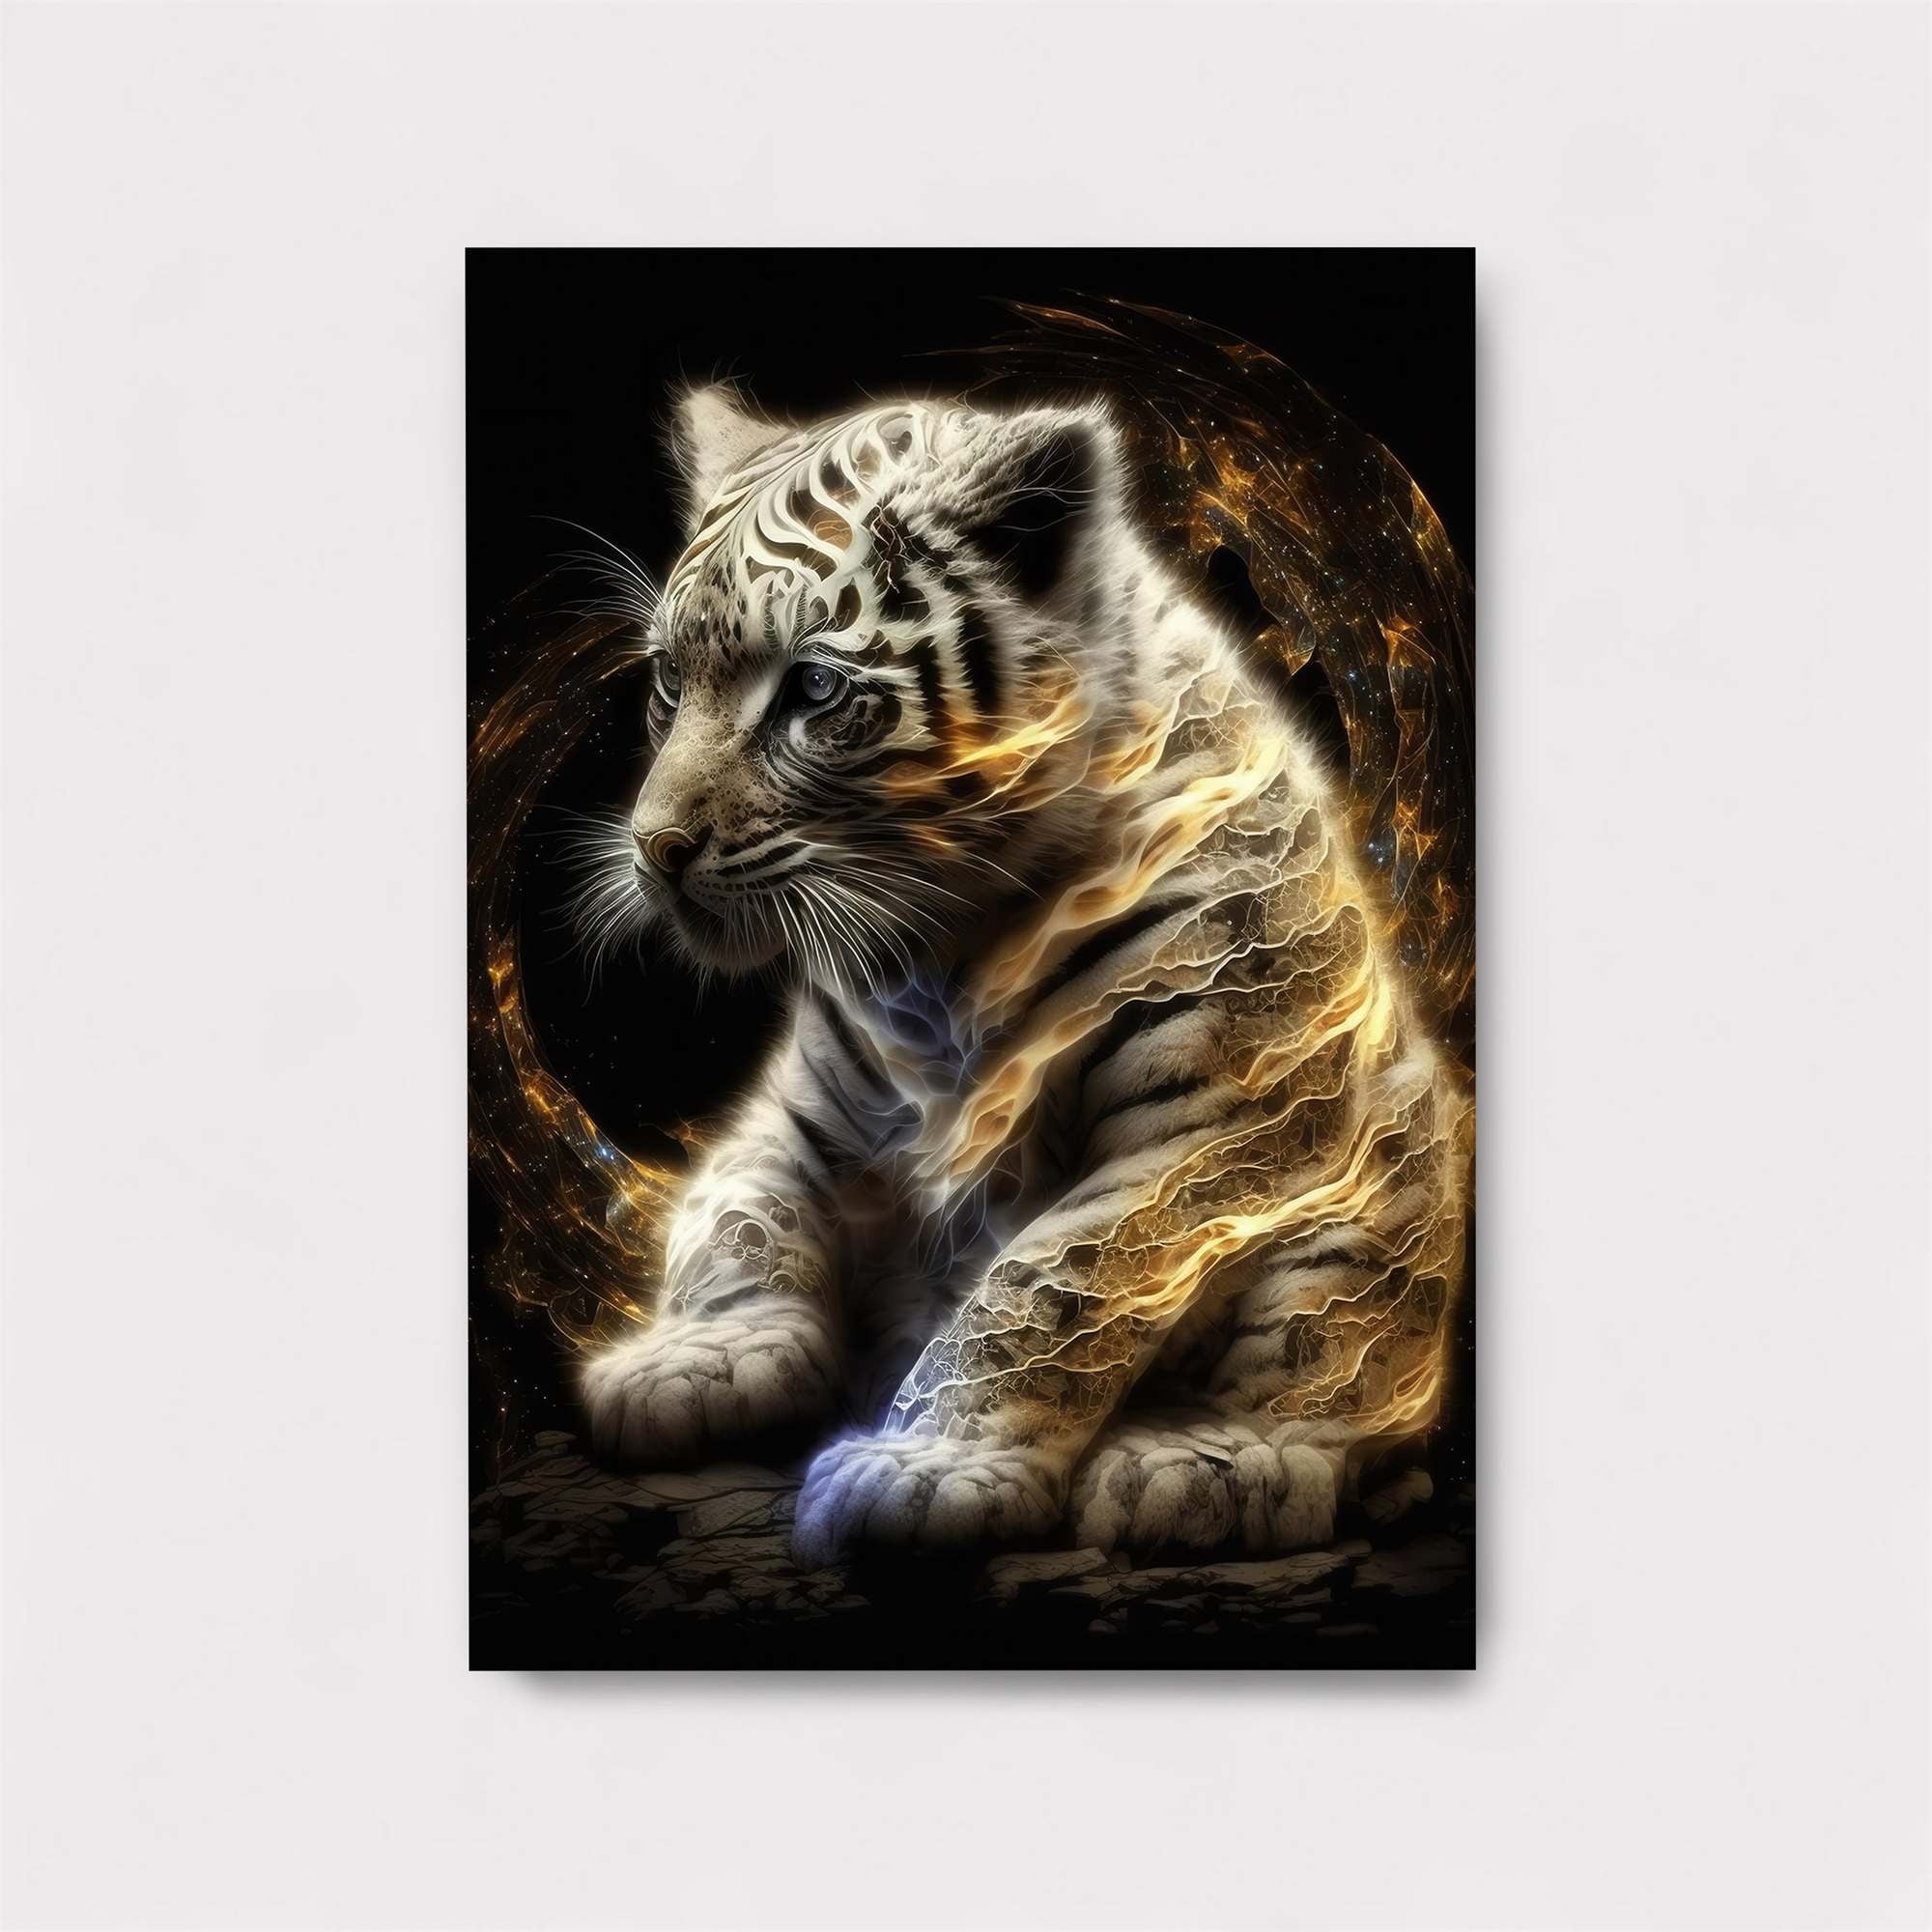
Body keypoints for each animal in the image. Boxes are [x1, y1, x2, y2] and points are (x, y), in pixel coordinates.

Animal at [578, 382, 1471, 1566]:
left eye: (813, 688)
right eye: (671, 680)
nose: (656, 845)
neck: (932, 957)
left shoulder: (1205, 1126)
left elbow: (1045, 1287)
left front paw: (921, 1466)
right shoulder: (801, 1113)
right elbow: (737, 1213)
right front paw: (701, 1358)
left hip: (1375, 1215)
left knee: (1334, 1369)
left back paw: (1204, 1461)